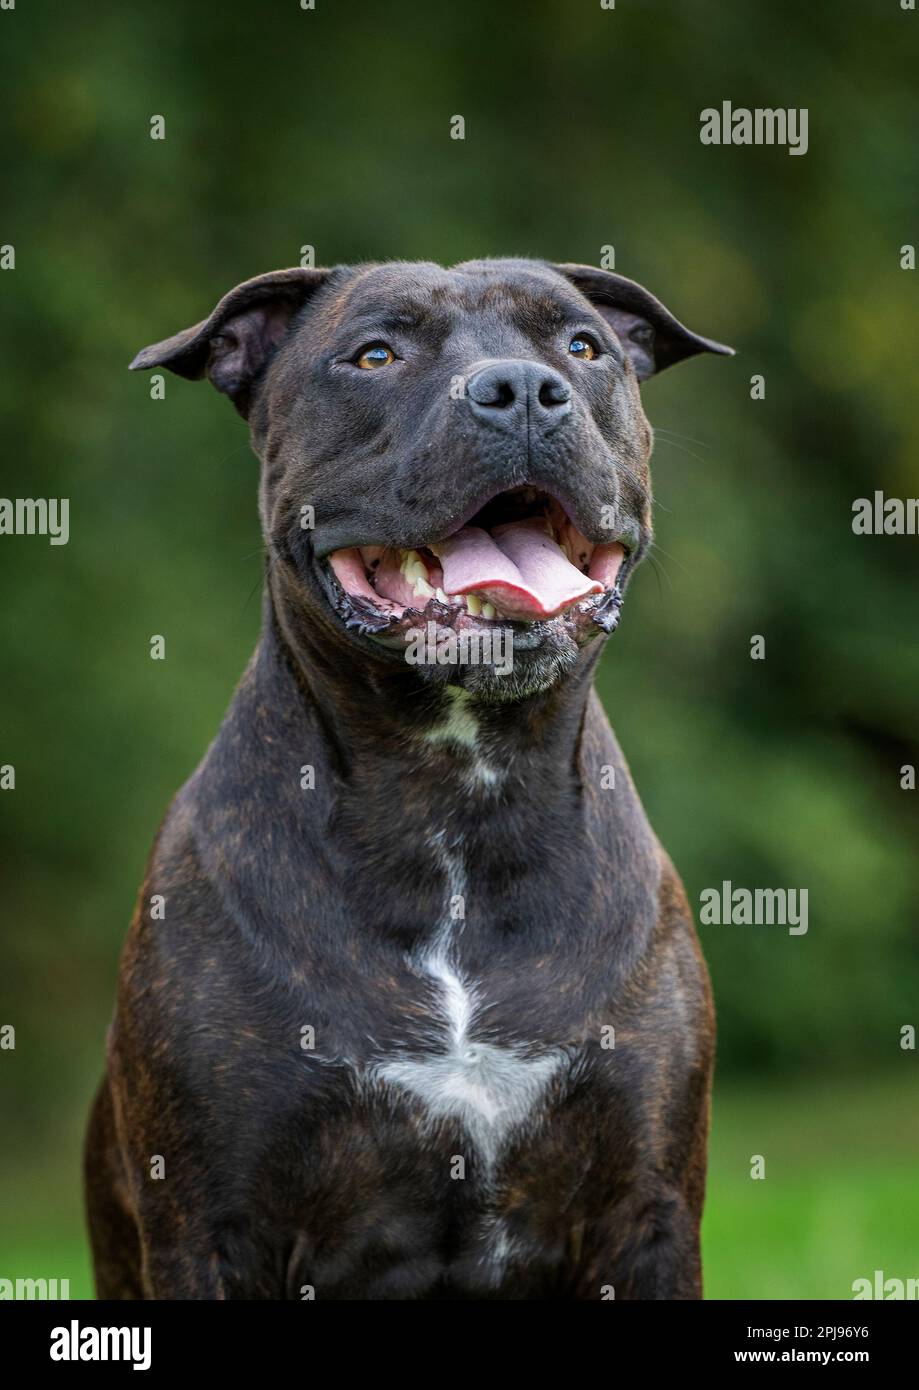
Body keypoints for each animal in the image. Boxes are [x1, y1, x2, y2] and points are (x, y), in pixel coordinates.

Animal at [86, 255, 728, 1295]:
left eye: (582, 346)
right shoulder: (208, 1226)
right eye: (375, 355)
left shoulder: (648, 1214)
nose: (520, 389)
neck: (452, 796)